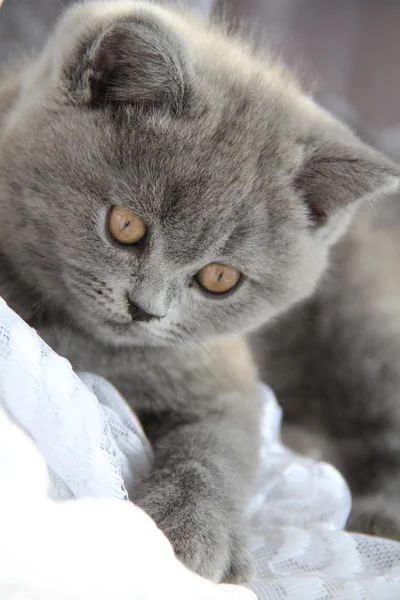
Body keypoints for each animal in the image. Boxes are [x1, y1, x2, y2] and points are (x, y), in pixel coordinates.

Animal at [0, 0, 396, 580]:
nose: (145, 310)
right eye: (125, 226)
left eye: (219, 279)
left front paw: (195, 533)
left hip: (365, 327)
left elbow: (217, 446)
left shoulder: (221, 376)